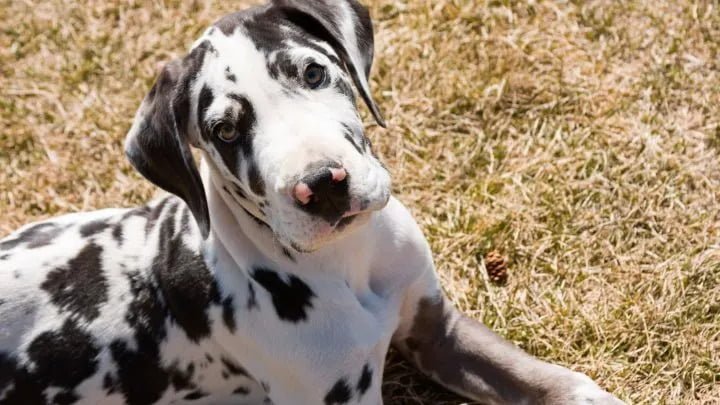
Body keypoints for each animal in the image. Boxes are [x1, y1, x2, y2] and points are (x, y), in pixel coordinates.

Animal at [0, 0, 624, 404]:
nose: (322, 184)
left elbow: (552, 380)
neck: (348, 261)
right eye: (225, 130)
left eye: (314, 71)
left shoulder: (437, 330)